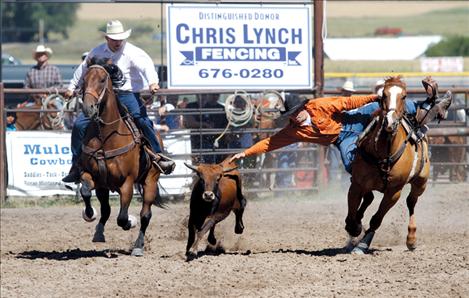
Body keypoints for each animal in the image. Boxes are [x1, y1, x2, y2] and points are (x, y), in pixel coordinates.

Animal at [77, 57, 163, 256]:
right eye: (84, 79)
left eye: (102, 80)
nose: (88, 107)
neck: (106, 137)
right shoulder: (93, 177)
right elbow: (86, 191)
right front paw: (89, 214)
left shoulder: (127, 183)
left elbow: (122, 217)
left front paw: (130, 222)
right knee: (106, 210)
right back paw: (99, 232)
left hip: (151, 181)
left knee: (145, 214)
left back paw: (138, 246)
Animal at [346, 76, 430, 254]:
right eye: (383, 95)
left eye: (404, 96)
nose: (390, 122)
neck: (384, 153)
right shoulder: (357, 184)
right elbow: (352, 212)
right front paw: (354, 228)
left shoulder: (394, 191)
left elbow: (376, 219)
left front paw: (363, 244)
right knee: (368, 199)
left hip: (421, 182)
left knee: (411, 202)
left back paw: (411, 239)